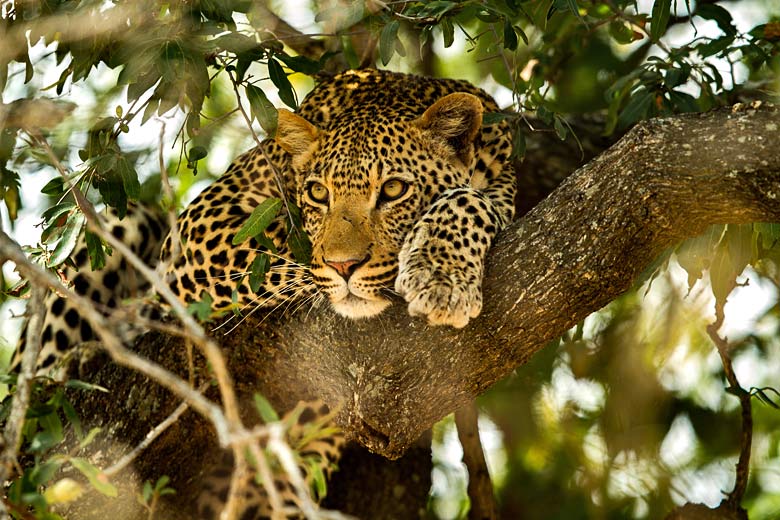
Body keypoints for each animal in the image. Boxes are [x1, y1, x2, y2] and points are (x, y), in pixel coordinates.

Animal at [9, 70, 516, 520]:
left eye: (393, 189)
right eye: (318, 193)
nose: (344, 267)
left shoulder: (502, 190)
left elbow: (470, 201)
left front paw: (441, 276)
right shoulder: (203, 224)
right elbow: (284, 242)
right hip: (126, 224)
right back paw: (79, 360)